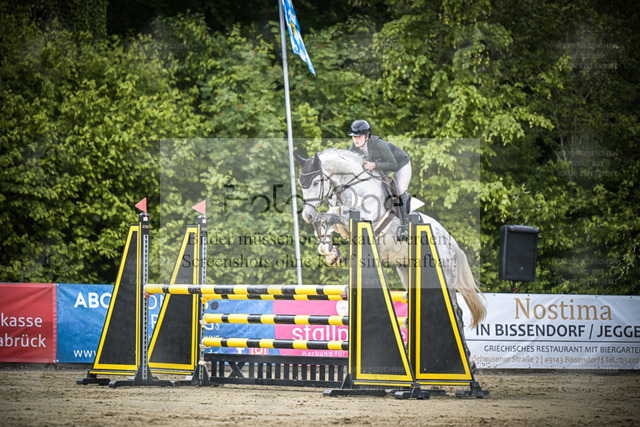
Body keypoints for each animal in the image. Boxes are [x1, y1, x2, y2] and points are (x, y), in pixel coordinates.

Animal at [294, 148, 486, 333]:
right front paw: (330, 252)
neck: (354, 185)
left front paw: (329, 250)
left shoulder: (363, 219)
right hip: (406, 270)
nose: (306, 216)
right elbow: (325, 220)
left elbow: (329, 218)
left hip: (446, 276)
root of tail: (453, 244)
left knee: (457, 312)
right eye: (301, 184)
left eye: (316, 183)